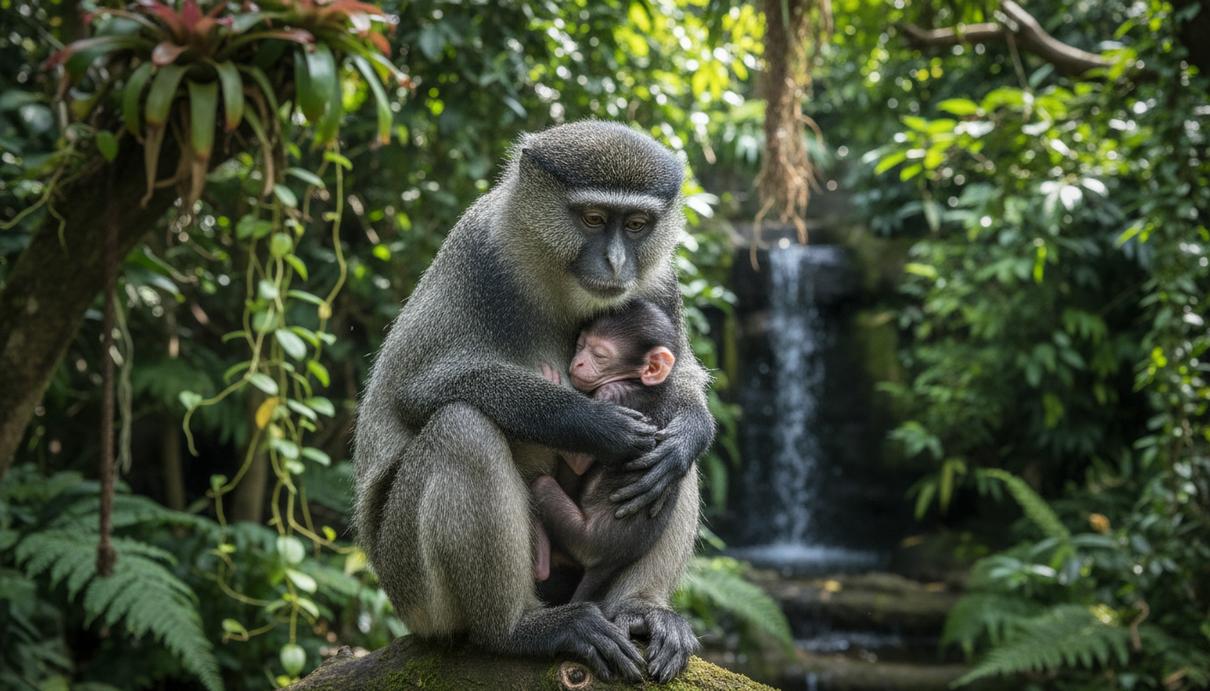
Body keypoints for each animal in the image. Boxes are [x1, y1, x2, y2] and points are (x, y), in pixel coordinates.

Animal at [531, 299, 683, 607]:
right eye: (581, 345)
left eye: (599, 355)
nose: (577, 362)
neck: (637, 382)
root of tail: (610, 560)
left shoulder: (611, 394)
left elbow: (580, 462)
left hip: (584, 539)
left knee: (543, 486)